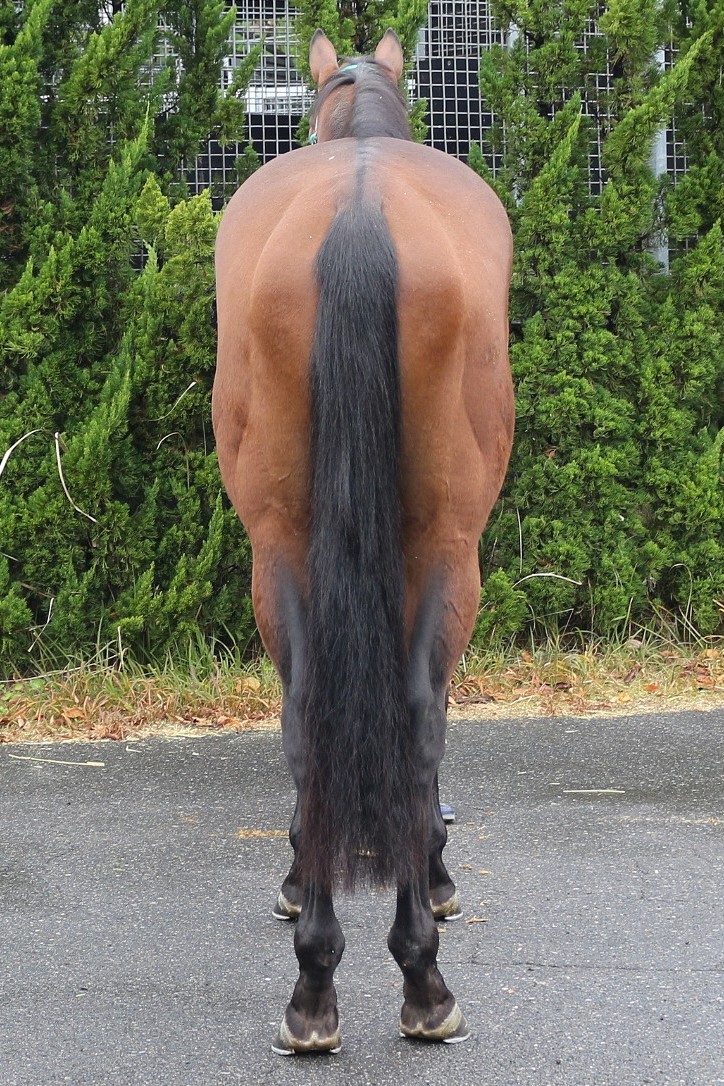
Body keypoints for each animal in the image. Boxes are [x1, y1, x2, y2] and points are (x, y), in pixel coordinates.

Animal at [212, 28, 514, 1054]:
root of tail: (357, 217)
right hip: (450, 553)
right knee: (418, 717)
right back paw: (421, 979)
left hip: (281, 549)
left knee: (309, 717)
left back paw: (316, 985)